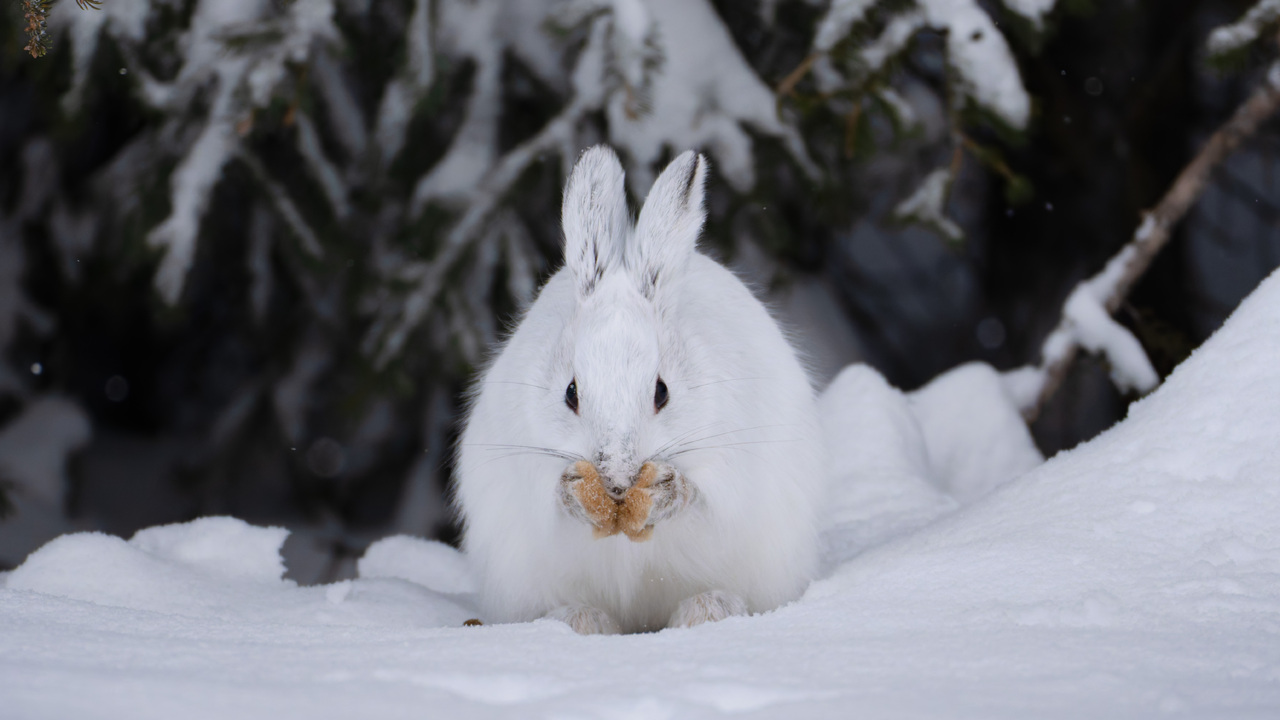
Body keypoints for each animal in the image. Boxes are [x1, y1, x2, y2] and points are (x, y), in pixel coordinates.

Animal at [454, 146, 825, 634]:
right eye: (570, 393)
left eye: (662, 392)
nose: (615, 480)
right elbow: (547, 504)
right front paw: (575, 494)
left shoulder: (730, 467)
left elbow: (707, 503)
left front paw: (667, 491)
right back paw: (580, 621)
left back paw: (707, 610)